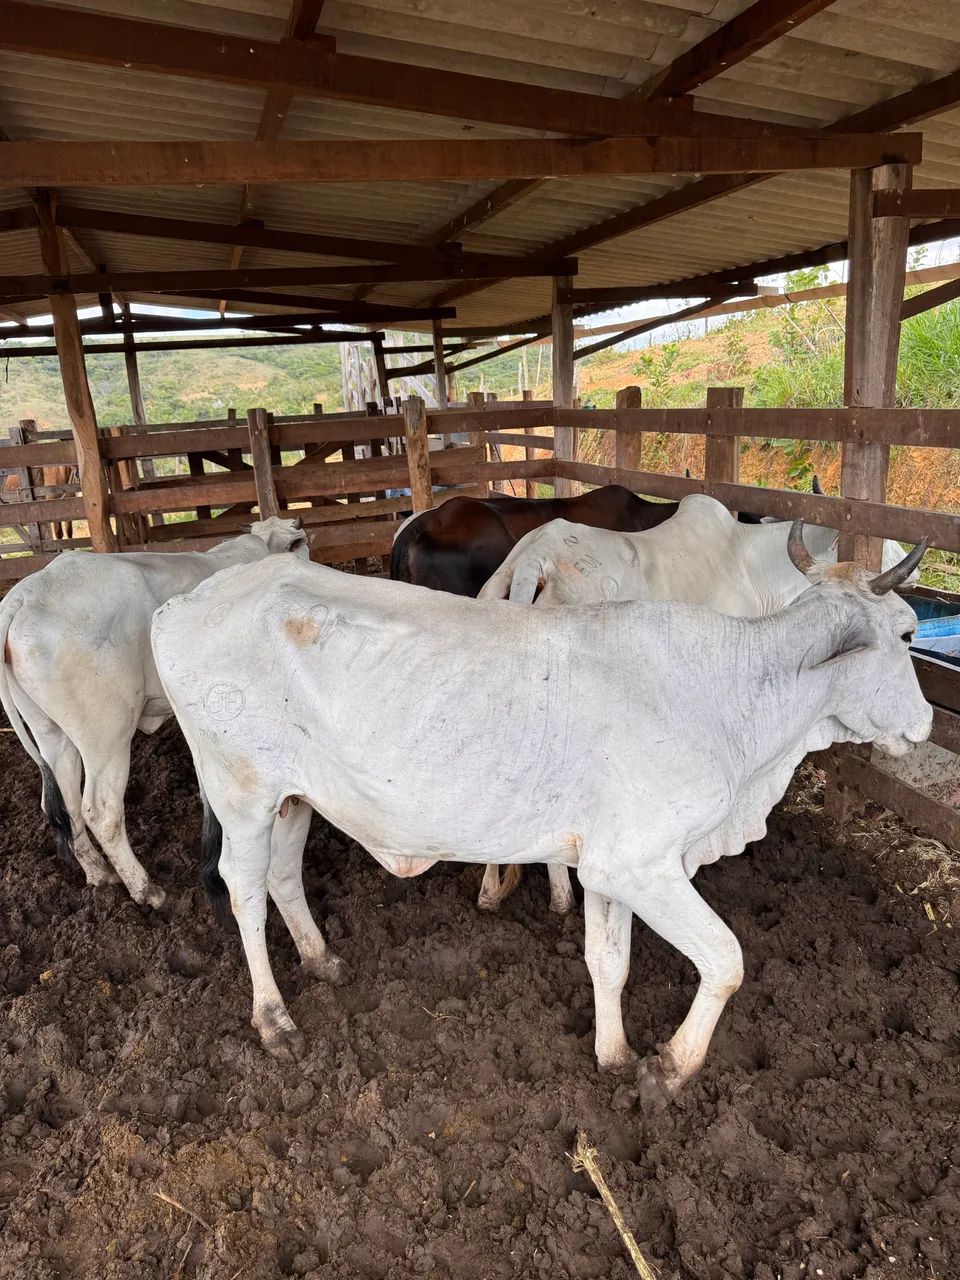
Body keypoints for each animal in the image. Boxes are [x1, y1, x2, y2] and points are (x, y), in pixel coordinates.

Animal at [0, 517, 309, 908]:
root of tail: (24, 594)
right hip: (106, 735)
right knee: (101, 811)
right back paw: (146, 890)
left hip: (51, 732)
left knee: (64, 801)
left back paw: (99, 873)